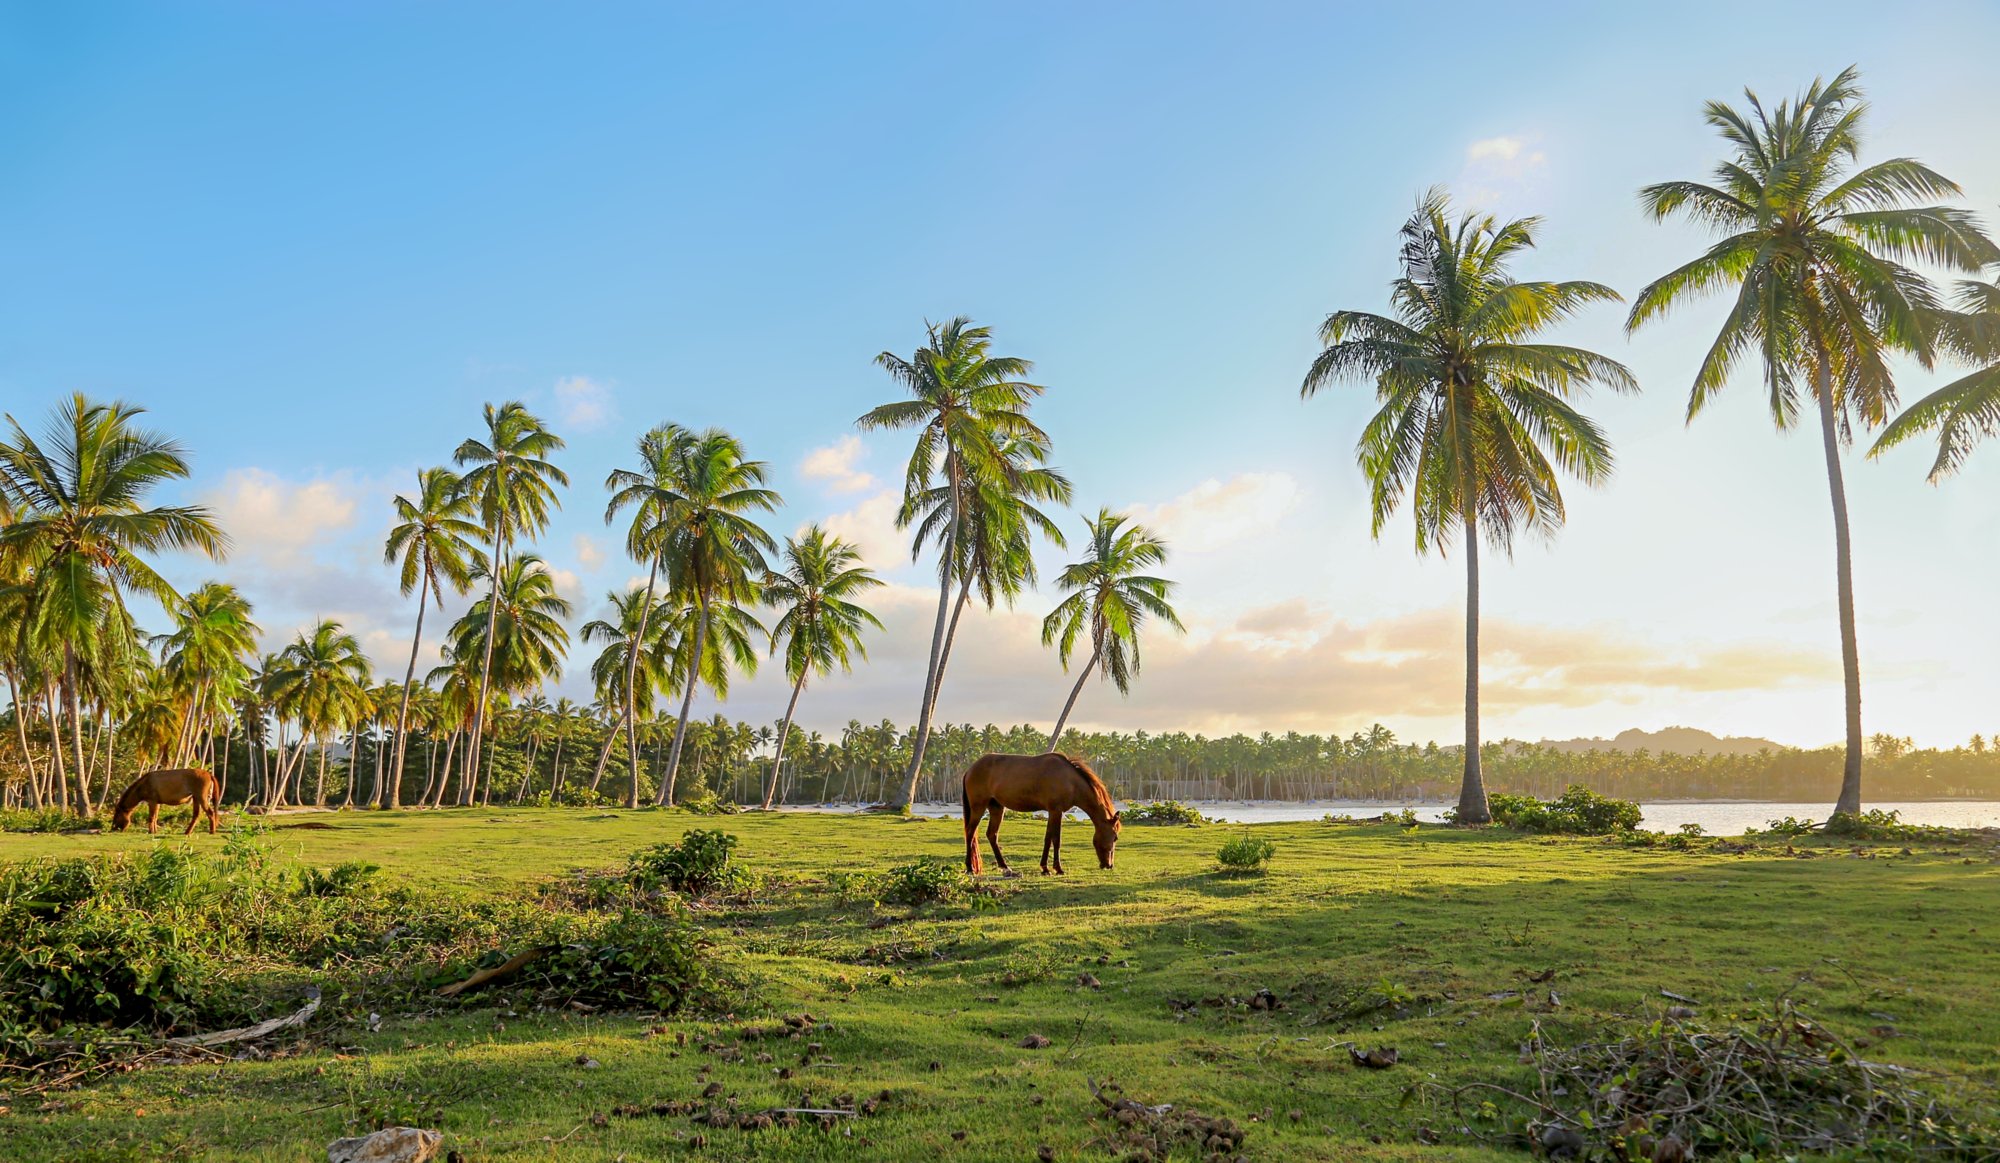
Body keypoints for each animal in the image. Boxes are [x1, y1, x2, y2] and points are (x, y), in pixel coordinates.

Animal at [960, 755, 1120, 875]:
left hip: (996, 808)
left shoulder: (1052, 812)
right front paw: (1058, 868)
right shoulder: (1056, 811)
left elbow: (1048, 838)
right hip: (979, 807)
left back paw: (1004, 866)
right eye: (1115, 837)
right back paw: (970, 867)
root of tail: (969, 770)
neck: (1070, 780)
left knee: (991, 834)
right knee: (970, 832)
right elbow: (1056, 839)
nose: (1109, 865)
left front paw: (1045, 868)